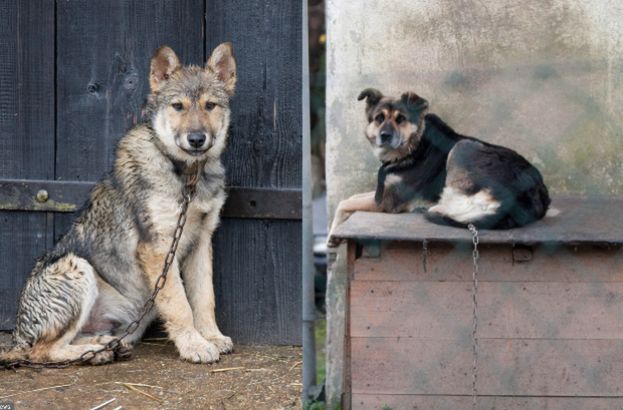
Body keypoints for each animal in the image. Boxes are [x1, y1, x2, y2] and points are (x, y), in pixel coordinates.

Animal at [0, 43, 238, 366]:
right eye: (178, 106)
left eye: (210, 105)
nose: (197, 139)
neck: (186, 175)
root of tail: (17, 337)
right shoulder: (158, 247)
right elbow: (180, 305)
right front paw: (194, 345)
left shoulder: (201, 241)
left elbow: (204, 298)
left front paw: (211, 336)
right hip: (77, 268)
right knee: (42, 351)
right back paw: (95, 352)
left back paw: (105, 347)